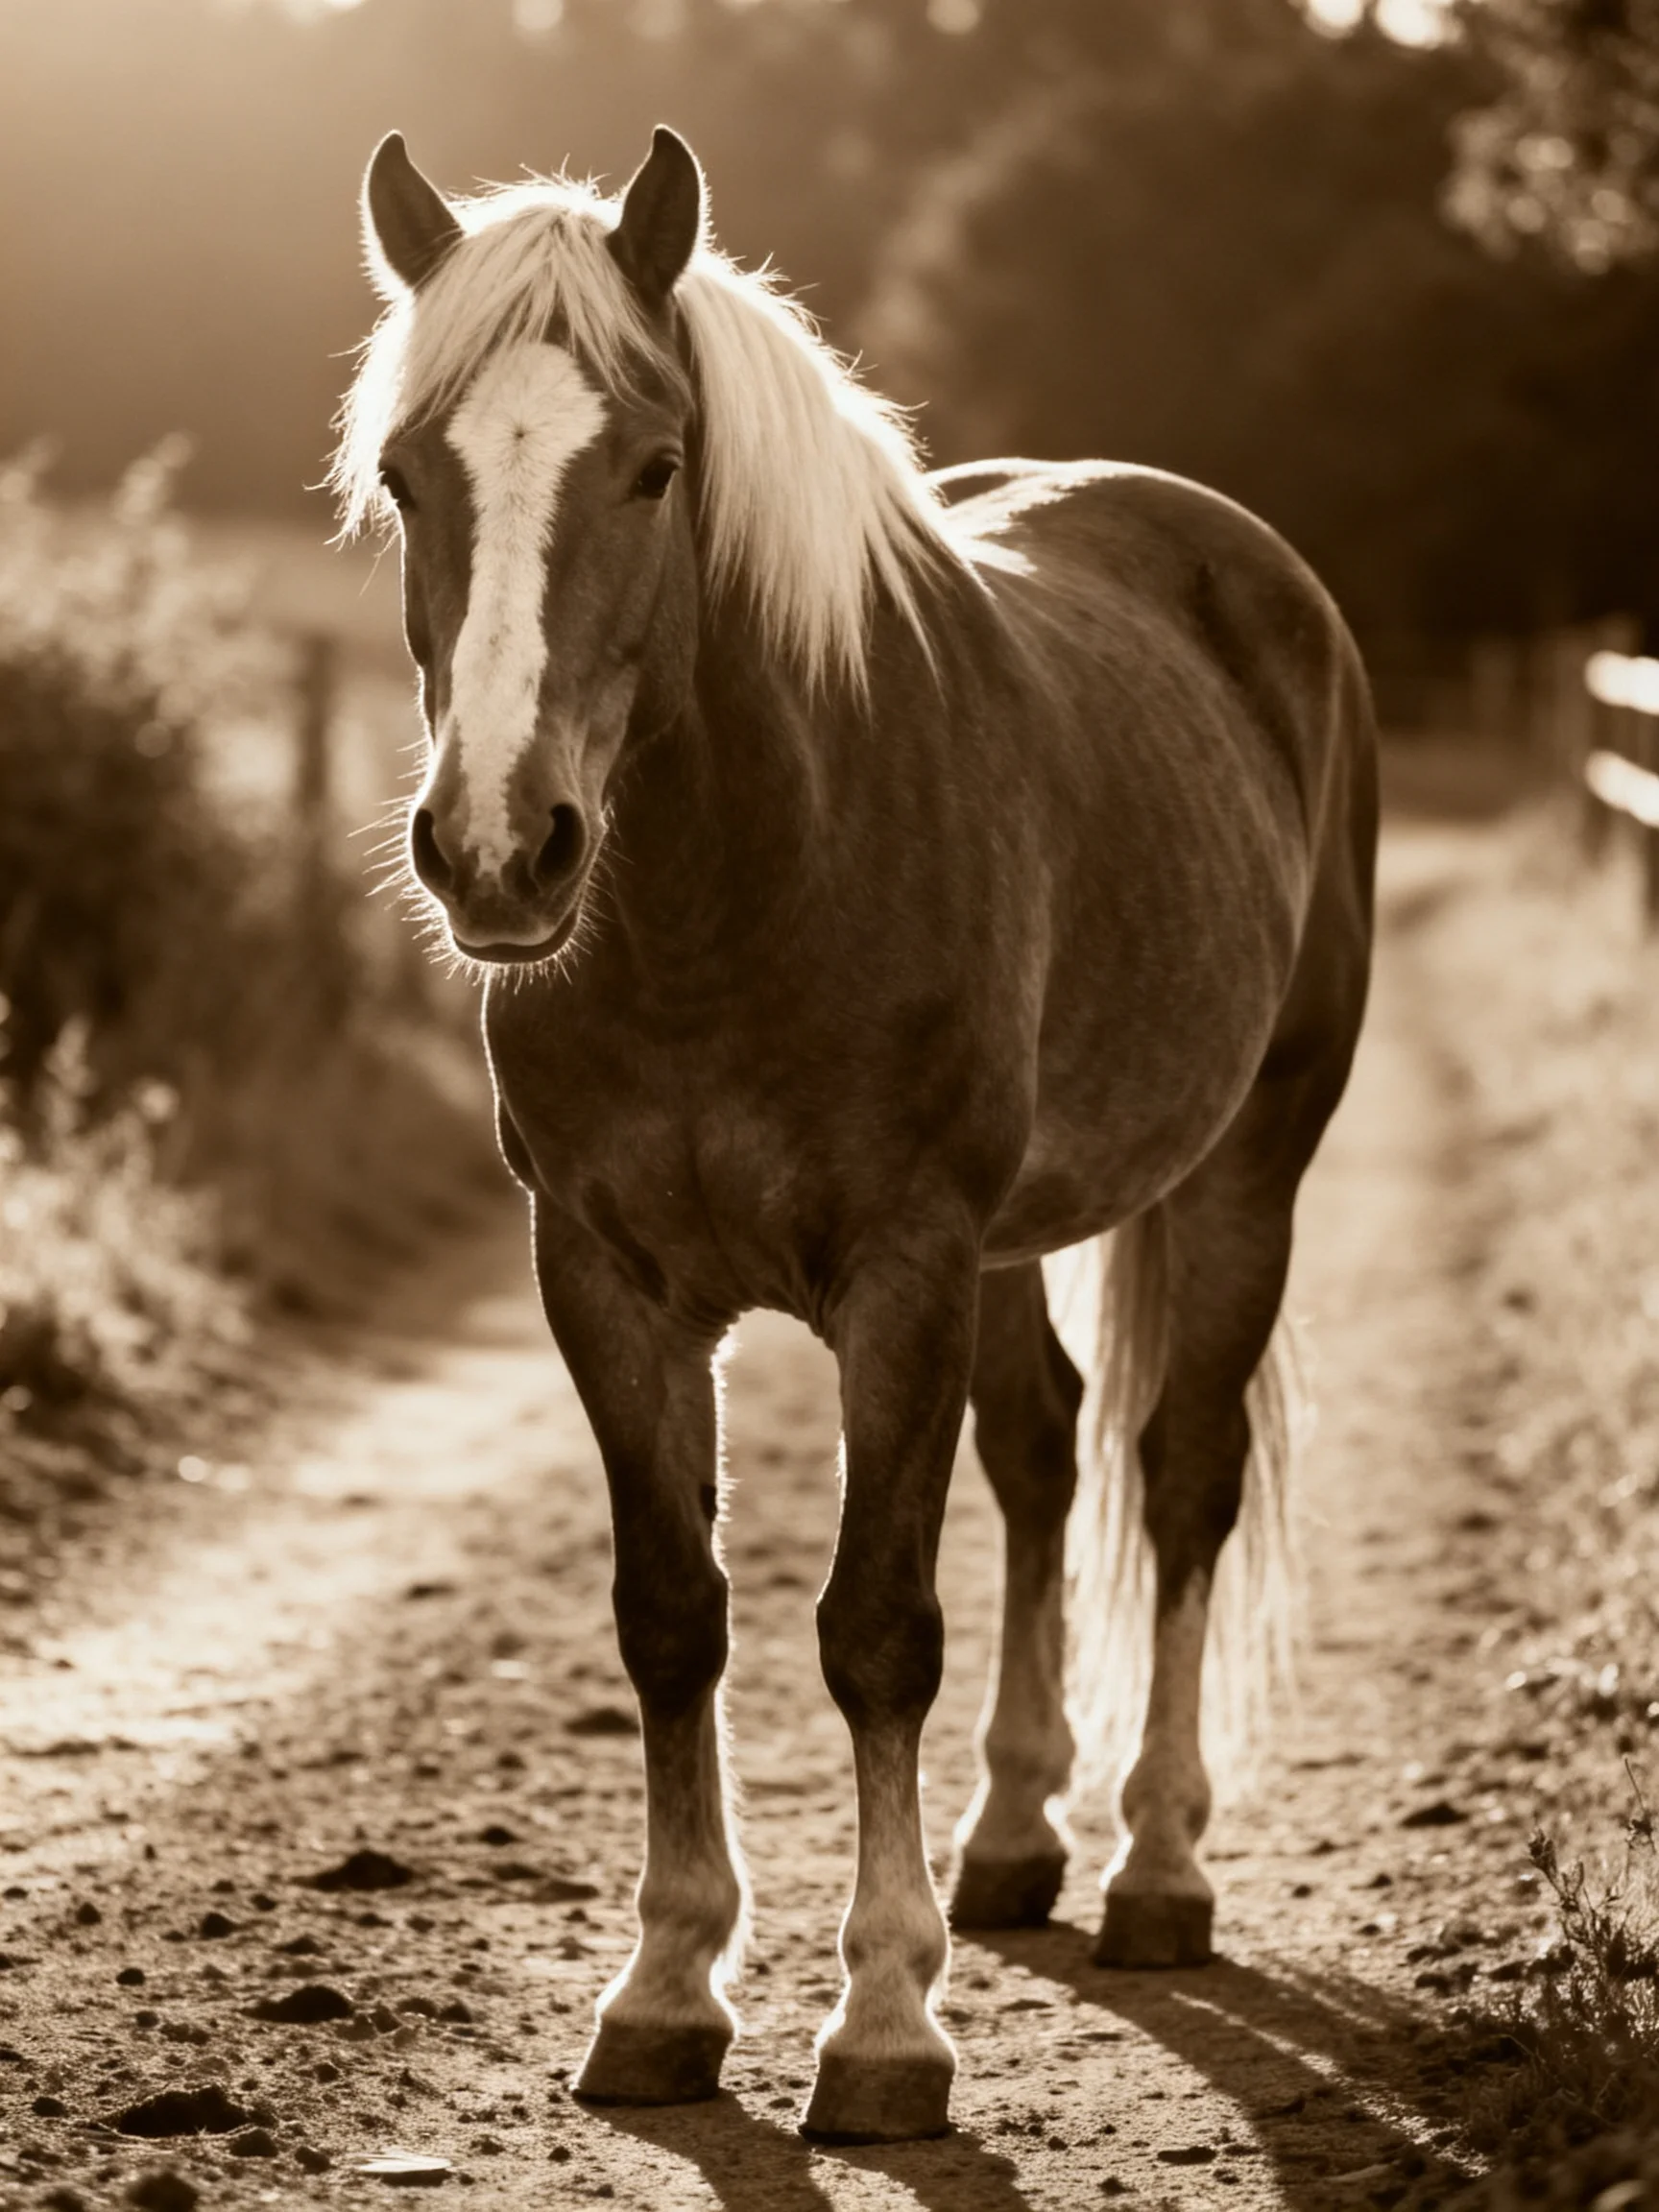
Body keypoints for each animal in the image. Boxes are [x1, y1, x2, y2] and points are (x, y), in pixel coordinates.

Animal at [333, 123, 1377, 2145]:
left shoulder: (898, 1267)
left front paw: (885, 2024)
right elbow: (671, 1612)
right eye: (411, 475)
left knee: (1176, 1472)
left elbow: (875, 1621)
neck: (737, 885)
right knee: (1045, 1455)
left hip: (1247, 1170)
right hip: (1017, 1236)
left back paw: (1155, 1865)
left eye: (653, 465)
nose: (498, 850)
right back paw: (1014, 1836)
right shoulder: (605, 1276)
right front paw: (665, 1990)